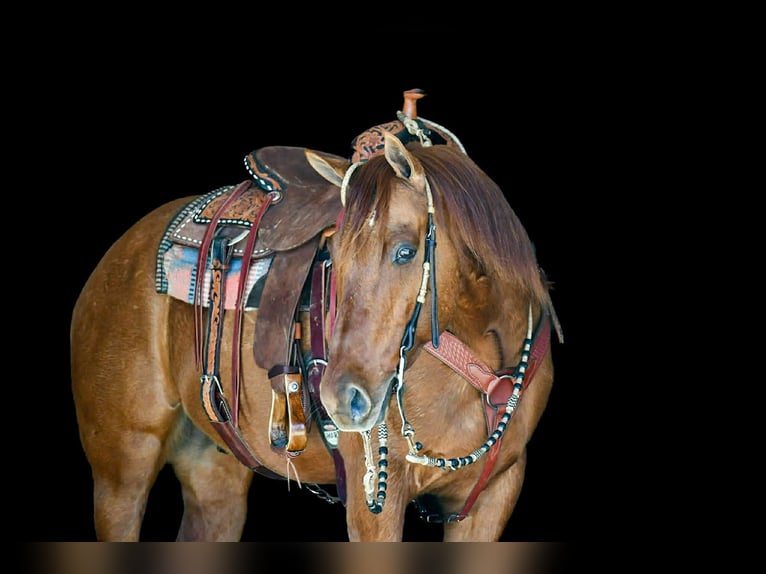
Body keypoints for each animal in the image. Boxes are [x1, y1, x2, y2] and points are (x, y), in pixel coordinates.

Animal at [70, 92, 562, 541]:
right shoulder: (375, 500)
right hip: (123, 470)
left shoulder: (491, 498)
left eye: (406, 252)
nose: (342, 399)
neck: (483, 362)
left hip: (213, 467)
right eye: (334, 257)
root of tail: (117, 256)